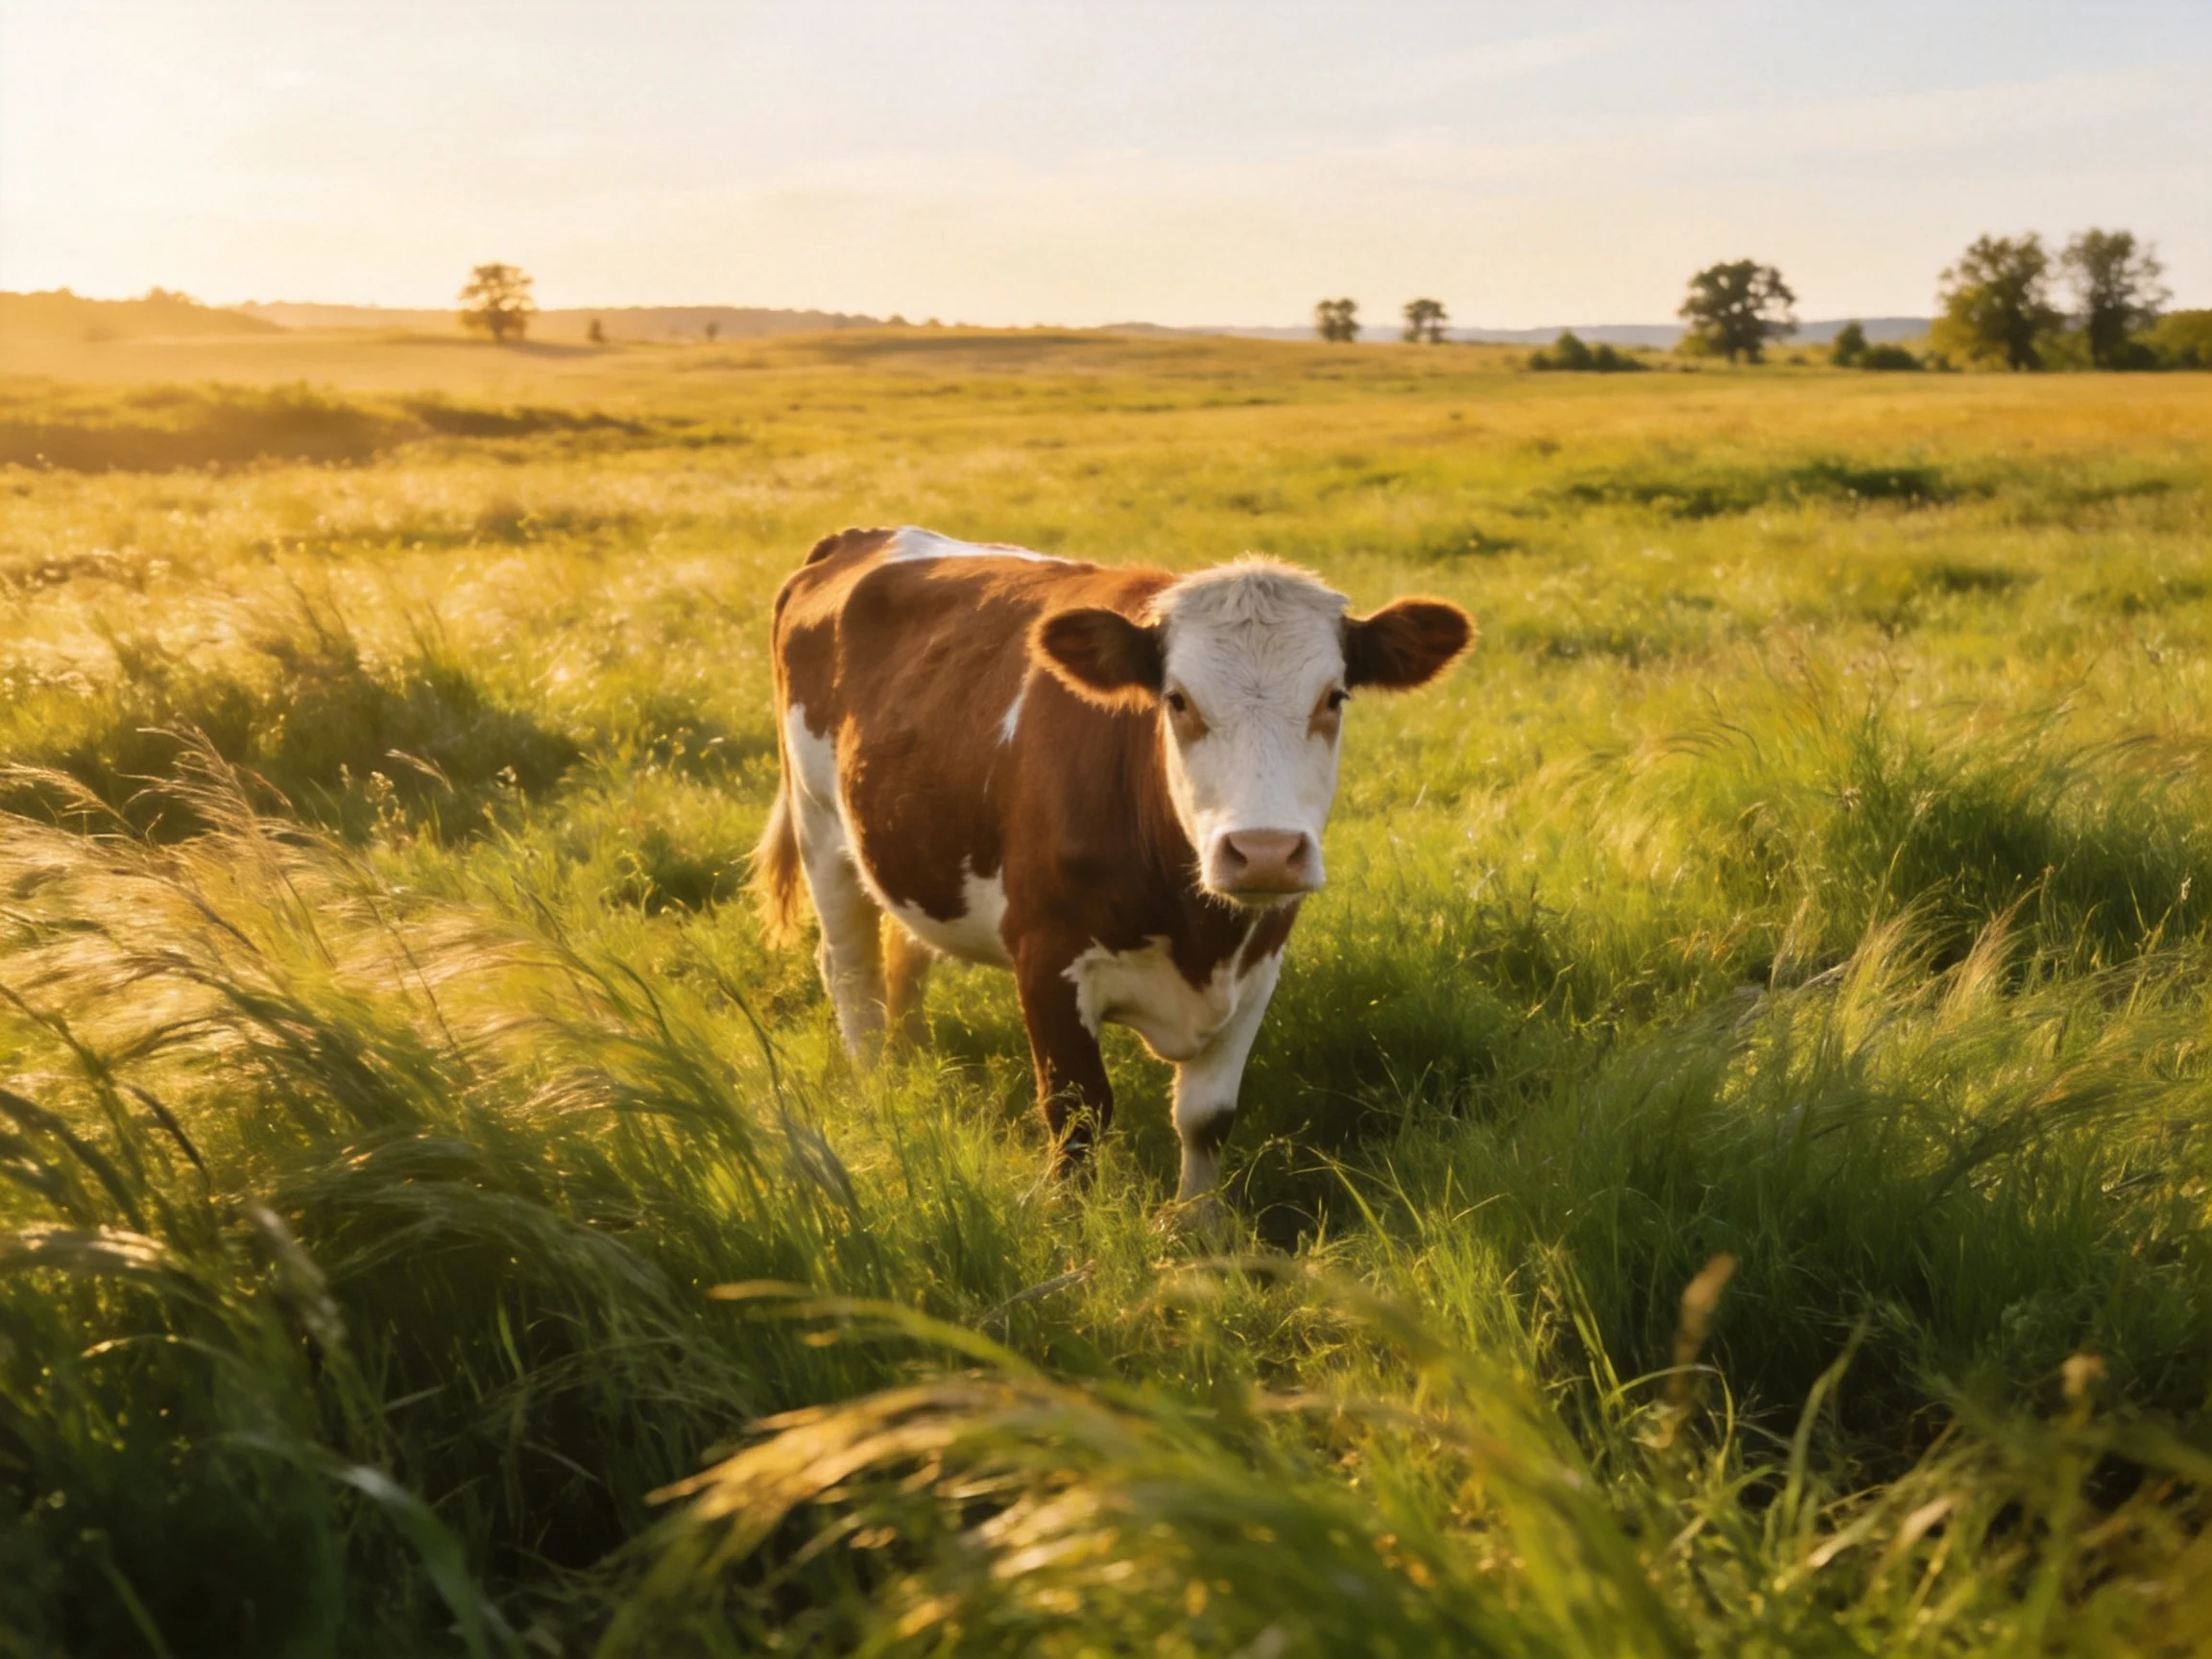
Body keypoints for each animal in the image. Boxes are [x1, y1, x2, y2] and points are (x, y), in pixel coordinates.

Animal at [751, 526, 1472, 1210]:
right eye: (1177, 700)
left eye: (1334, 697)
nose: (1264, 850)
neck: (1201, 938)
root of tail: (857, 537)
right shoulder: (1047, 957)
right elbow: (1078, 1117)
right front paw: (1076, 1230)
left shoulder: (1261, 961)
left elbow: (1207, 1118)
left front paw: (1198, 1228)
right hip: (821, 827)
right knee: (852, 973)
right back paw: (879, 1088)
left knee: (905, 957)